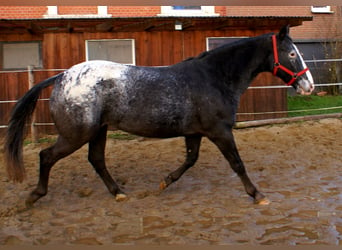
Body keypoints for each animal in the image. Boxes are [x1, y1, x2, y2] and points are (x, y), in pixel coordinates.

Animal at [4, 24, 314, 207]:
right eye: (292, 54)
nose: (309, 85)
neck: (213, 78)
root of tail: (62, 76)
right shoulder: (220, 131)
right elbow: (237, 164)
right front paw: (258, 195)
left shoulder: (195, 133)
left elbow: (190, 160)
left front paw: (164, 182)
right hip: (75, 134)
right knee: (47, 156)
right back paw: (33, 197)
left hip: (98, 130)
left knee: (96, 160)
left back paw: (118, 192)